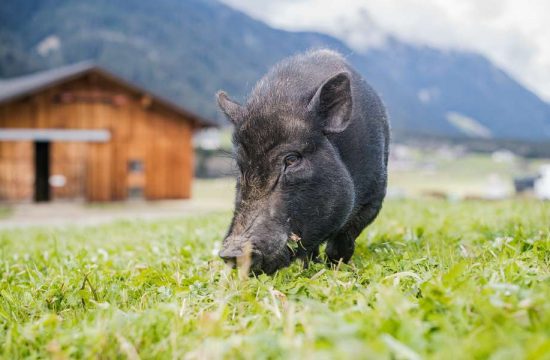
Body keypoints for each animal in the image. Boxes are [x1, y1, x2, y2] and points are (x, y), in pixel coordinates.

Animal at [218, 49, 390, 274]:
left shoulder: (374, 196)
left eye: (291, 159)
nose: (232, 252)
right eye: (240, 167)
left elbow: (344, 238)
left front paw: (335, 267)